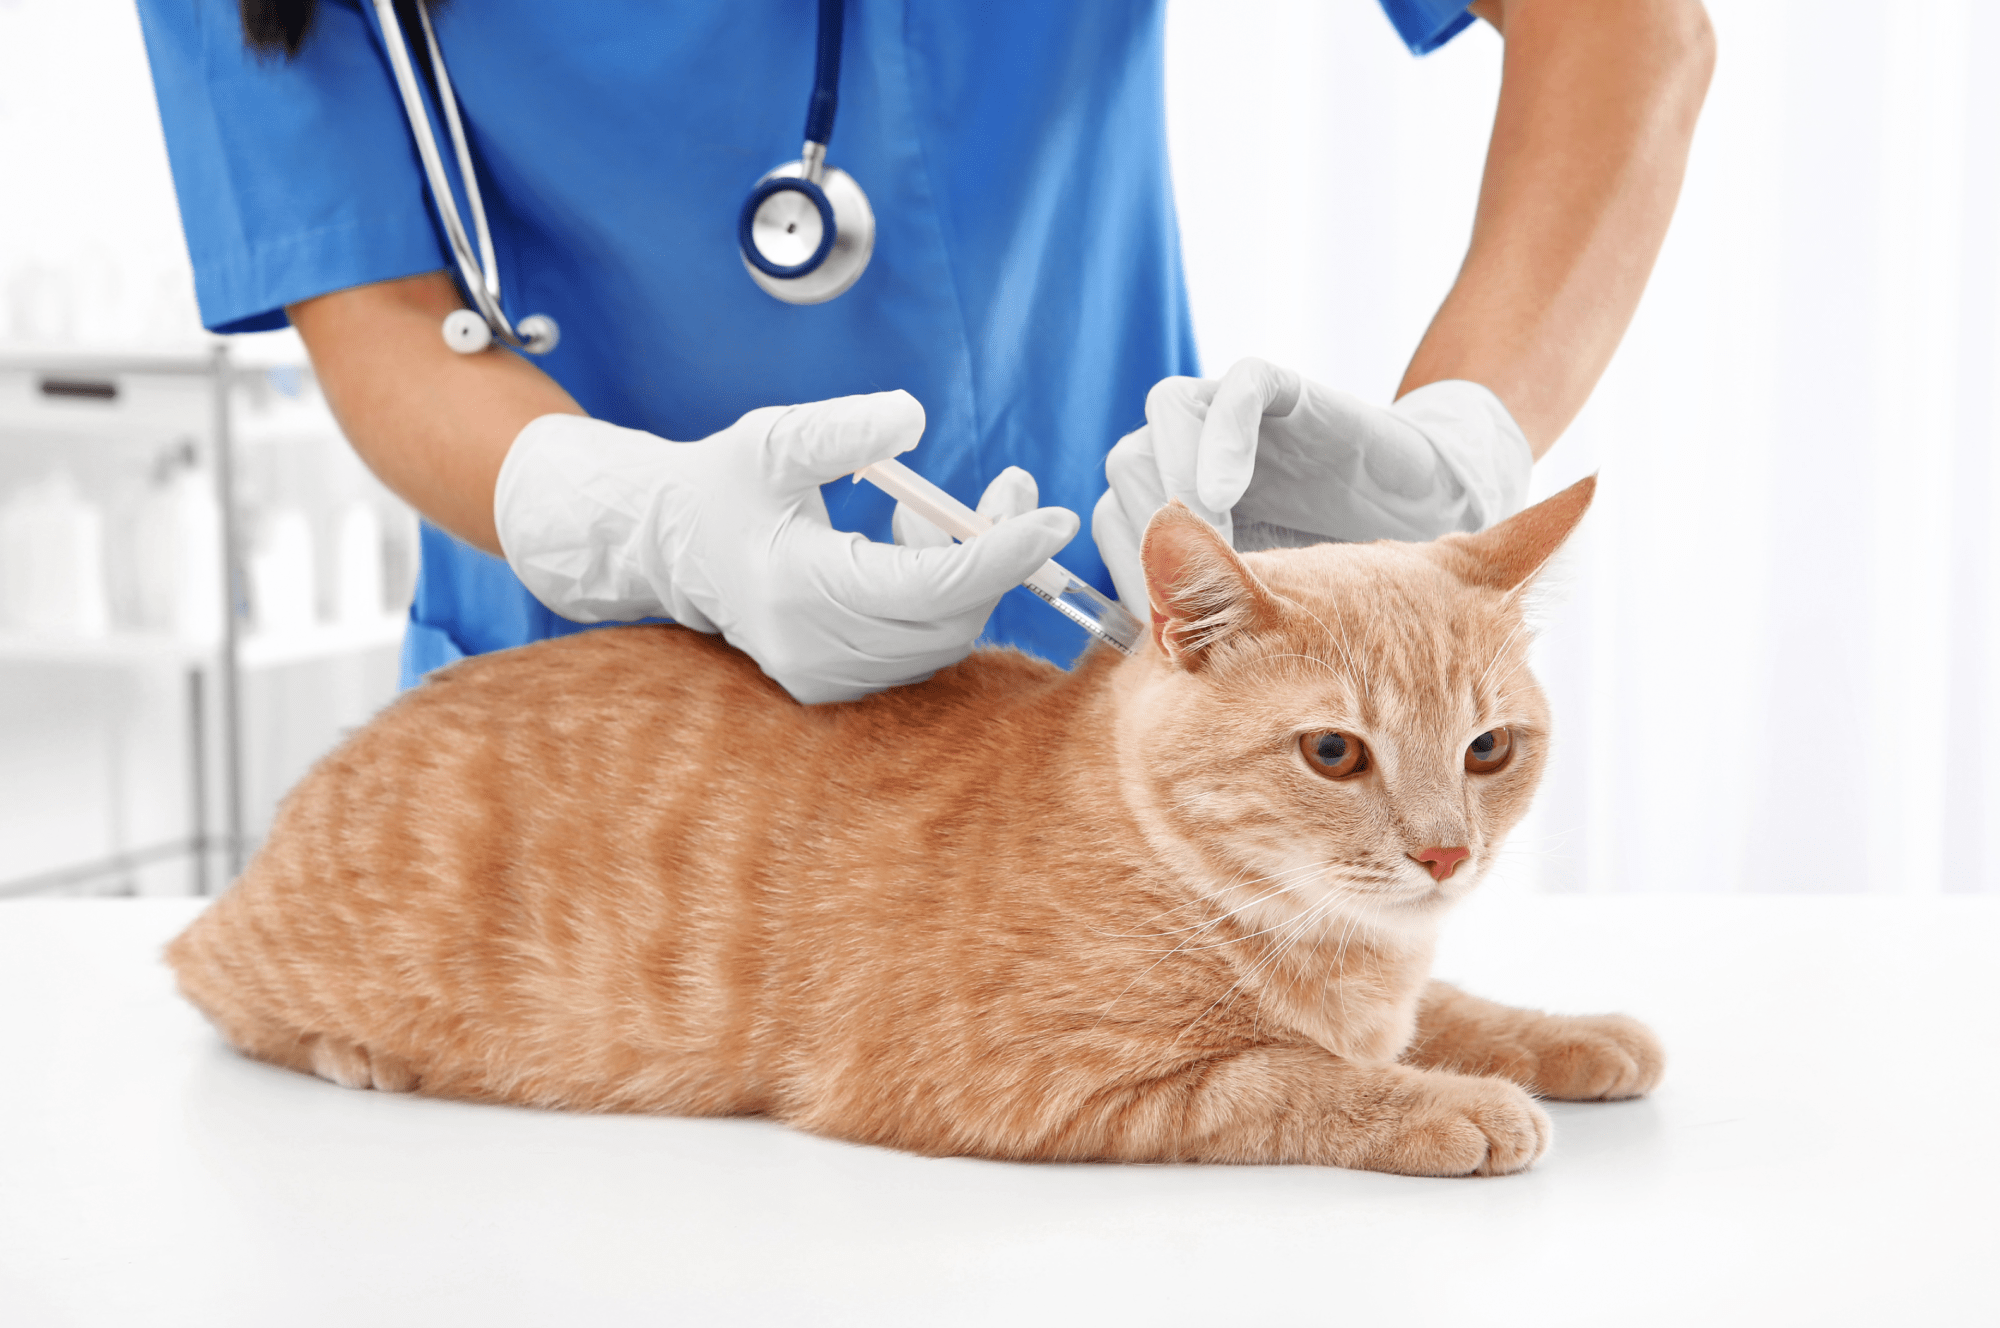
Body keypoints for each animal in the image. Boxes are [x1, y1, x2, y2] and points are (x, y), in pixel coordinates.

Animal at [168, 474, 1656, 1176]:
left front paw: (1567, 1034)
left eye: (1486, 749)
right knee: (211, 985)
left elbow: (1447, 1009)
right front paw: (1454, 1106)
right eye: (1335, 752)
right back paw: (353, 1052)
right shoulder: (1022, 1084)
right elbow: (1281, 1079)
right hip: (272, 963)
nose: (1446, 851)